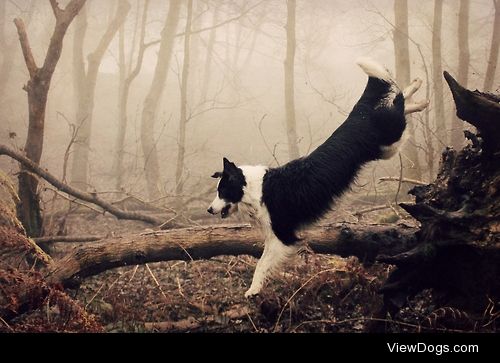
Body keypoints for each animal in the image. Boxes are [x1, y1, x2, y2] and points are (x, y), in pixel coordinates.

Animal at [207, 58, 430, 298]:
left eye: (222, 191)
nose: (208, 210)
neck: (254, 189)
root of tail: (357, 116)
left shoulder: (282, 235)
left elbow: (262, 264)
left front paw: (253, 290)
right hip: (386, 146)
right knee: (398, 101)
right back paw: (419, 98)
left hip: (392, 142)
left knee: (398, 102)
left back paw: (417, 88)